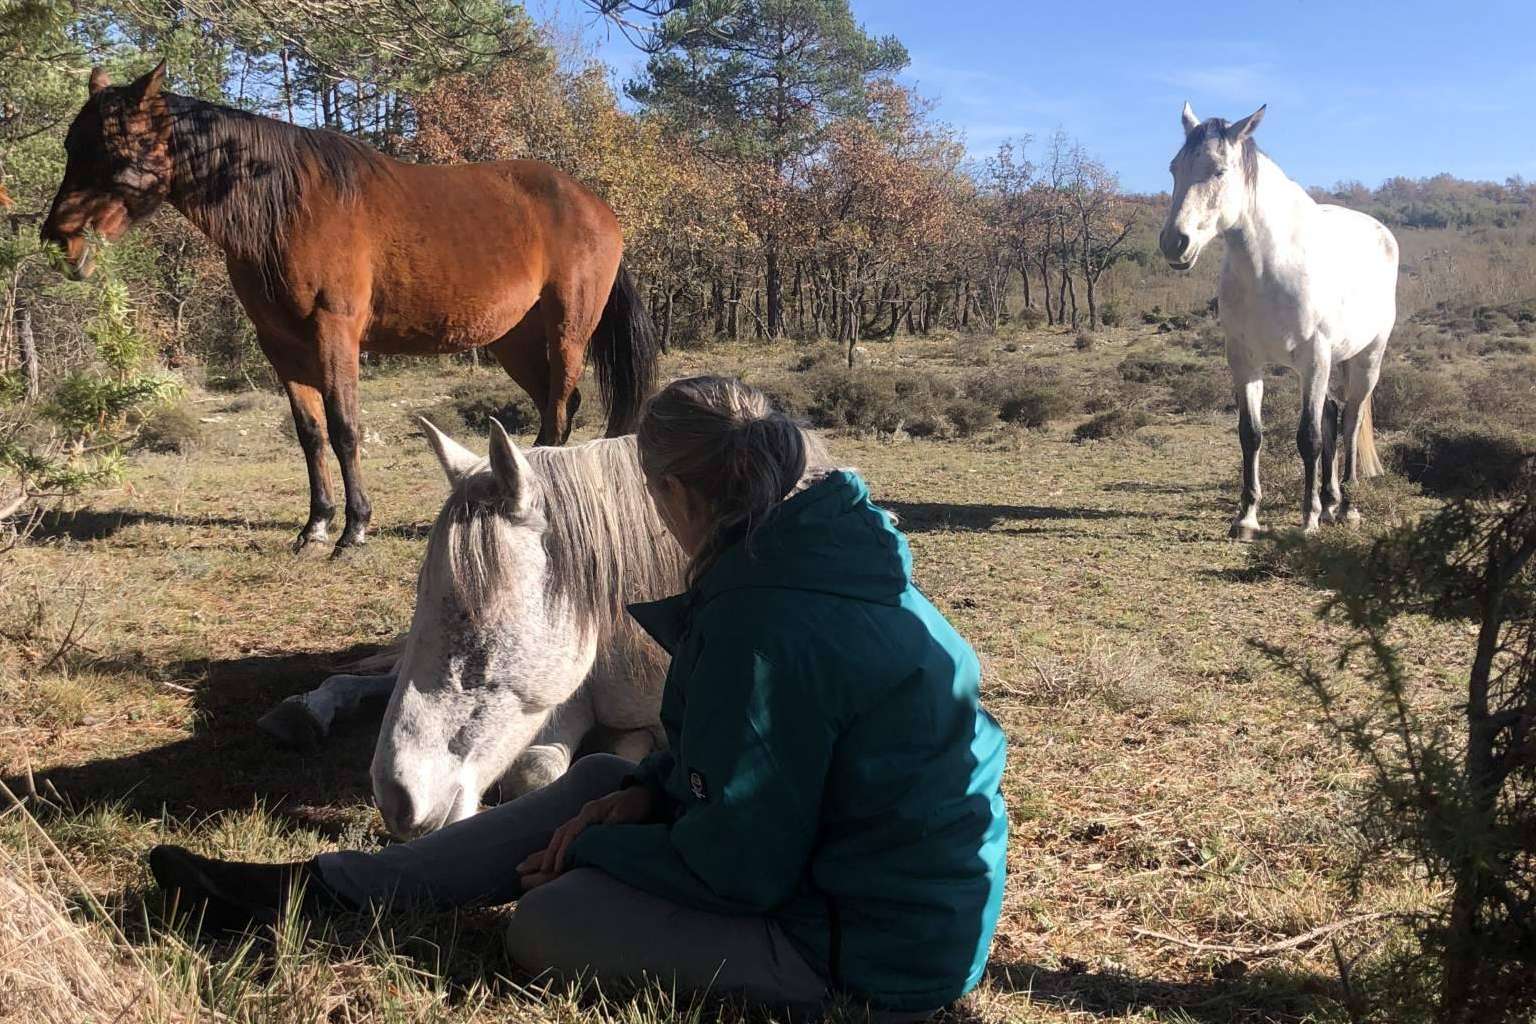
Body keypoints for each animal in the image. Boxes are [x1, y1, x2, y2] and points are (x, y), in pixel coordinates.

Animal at [39, 62, 658, 554]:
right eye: (71, 146)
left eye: (116, 150)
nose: (58, 242)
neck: (286, 207)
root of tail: (595, 205)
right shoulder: (281, 346)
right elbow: (311, 434)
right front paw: (314, 527)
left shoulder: (334, 333)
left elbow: (344, 428)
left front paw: (354, 529)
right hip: (515, 341)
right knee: (560, 404)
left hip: (567, 330)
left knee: (557, 407)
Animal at [1159, 103, 1395, 539]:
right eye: (1174, 168)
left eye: (1219, 170)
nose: (1174, 243)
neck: (1269, 268)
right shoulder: (1244, 360)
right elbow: (1251, 434)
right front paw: (1247, 519)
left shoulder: (1314, 359)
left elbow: (1309, 438)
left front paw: (1308, 520)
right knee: (1333, 415)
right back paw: (1331, 500)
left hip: (1367, 358)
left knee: (1351, 421)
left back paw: (1347, 507)